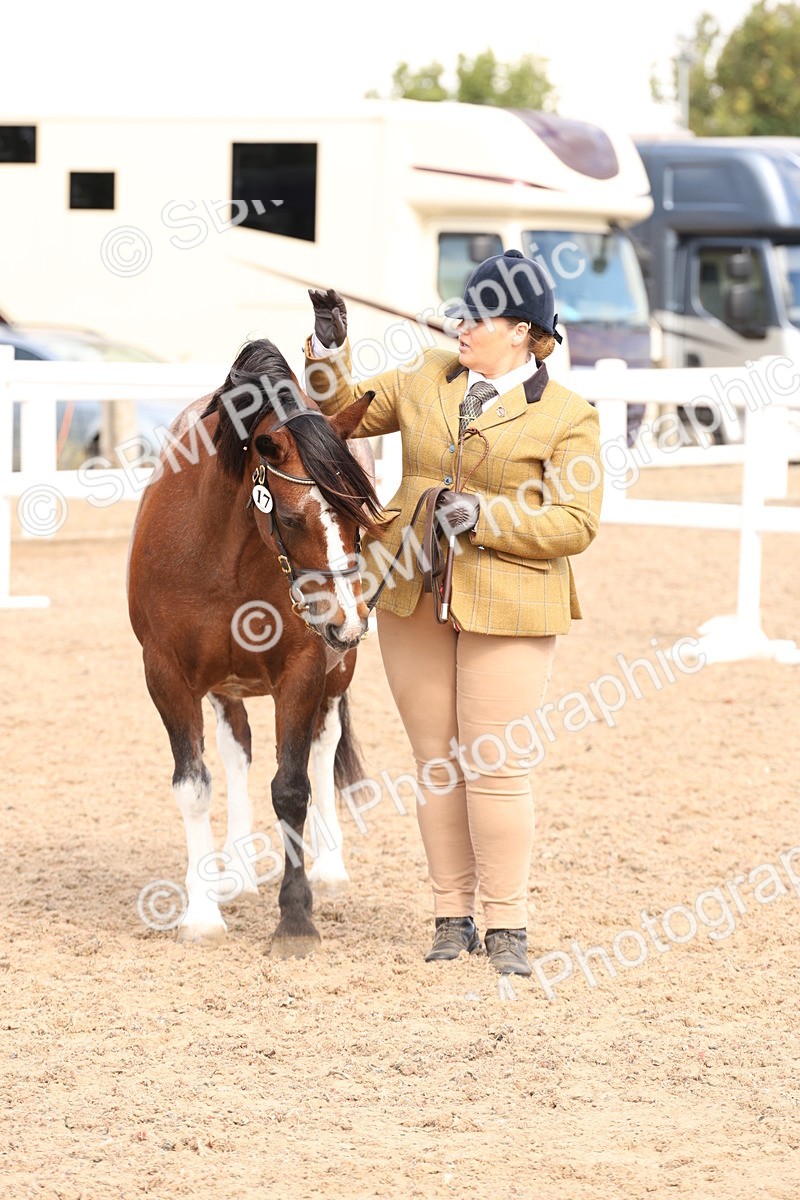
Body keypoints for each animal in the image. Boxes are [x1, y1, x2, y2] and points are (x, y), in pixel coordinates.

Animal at [127, 338, 381, 956]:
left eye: (358, 516)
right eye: (290, 516)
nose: (346, 622)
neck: (221, 550)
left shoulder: (303, 669)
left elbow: (292, 788)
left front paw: (296, 921)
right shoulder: (166, 675)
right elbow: (194, 787)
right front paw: (201, 914)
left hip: (336, 674)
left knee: (325, 740)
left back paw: (330, 866)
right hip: (226, 684)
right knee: (235, 749)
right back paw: (236, 873)